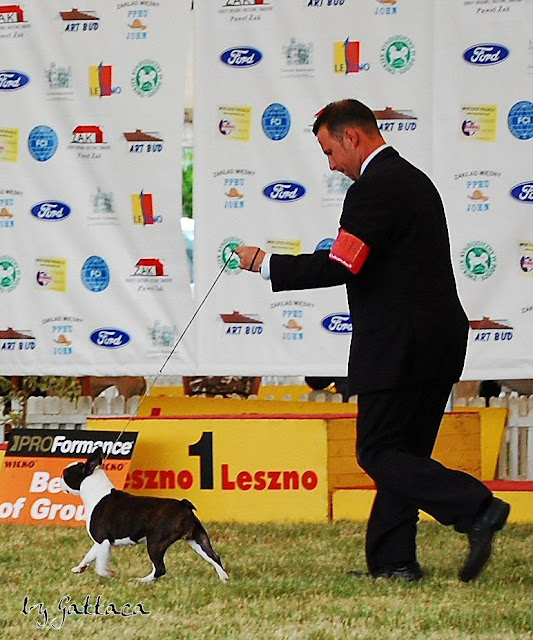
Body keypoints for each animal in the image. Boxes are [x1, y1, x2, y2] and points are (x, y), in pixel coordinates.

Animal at [61, 447, 229, 583]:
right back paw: (224, 578)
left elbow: (100, 567)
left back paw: (142, 581)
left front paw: (109, 574)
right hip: (197, 539)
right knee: (214, 557)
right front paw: (79, 568)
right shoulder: (101, 541)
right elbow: (89, 555)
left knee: (160, 568)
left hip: (155, 542)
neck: (96, 491)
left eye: (66, 473)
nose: (60, 478)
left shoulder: (102, 540)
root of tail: (183, 505)